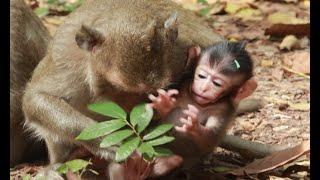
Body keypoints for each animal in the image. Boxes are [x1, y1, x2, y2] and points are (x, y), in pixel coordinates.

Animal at [149, 40, 256, 172]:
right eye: (201, 76)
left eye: (217, 84)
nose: (204, 88)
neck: (199, 103)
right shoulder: (181, 87)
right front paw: (163, 105)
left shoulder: (223, 110)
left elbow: (210, 139)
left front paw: (193, 126)